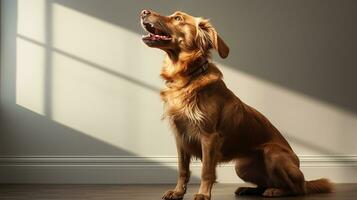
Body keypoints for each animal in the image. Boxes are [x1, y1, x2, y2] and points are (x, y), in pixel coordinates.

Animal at [139, 9, 330, 200]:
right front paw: (178, 192)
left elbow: (206, 171)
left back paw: (276, 191)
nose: (144, 12)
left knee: (298, 188)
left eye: (178, 18)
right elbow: (182, 170)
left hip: (272, 153)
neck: (186, 79)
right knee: (267, 183)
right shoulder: (180, 137)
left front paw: (203, 194)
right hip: (241, 167)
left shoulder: (209, 137)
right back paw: (250, 189)